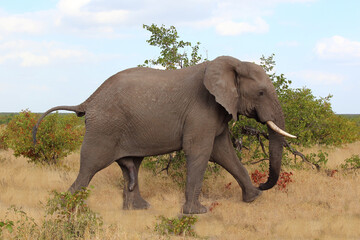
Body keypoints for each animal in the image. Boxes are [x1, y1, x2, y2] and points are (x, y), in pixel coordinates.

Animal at [33, 56, 296, 214]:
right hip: (103, 128)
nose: (263, 184)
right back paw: (65, 209)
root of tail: (88, 100)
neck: (232, 63)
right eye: (261, 93)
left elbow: (223, 153)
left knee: (131, 165)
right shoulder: (201, 110)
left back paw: (139, 209)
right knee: (89, 167)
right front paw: (197, 212)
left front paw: (253, 199)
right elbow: (200, 152)